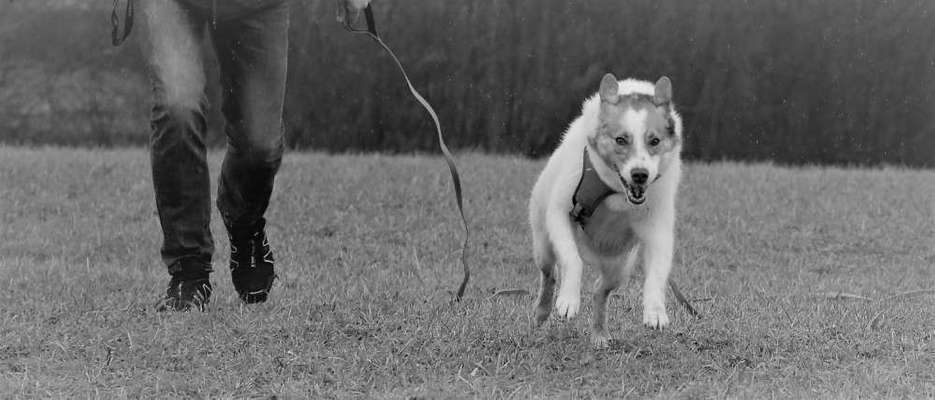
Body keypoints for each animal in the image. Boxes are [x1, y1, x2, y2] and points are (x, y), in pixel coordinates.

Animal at [532, 72, 684, 346]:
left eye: (654, 141)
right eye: (620, 140)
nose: (640, 175)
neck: (614, 191)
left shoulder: (657, 226)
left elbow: (657, 270)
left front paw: (655, 311)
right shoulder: (560, 213)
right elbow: (571, 260)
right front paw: (568, 301)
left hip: (619, 267)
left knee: (600, 290)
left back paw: (599, 333)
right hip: (543, 243)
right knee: (549, 274)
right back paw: (542, 311)